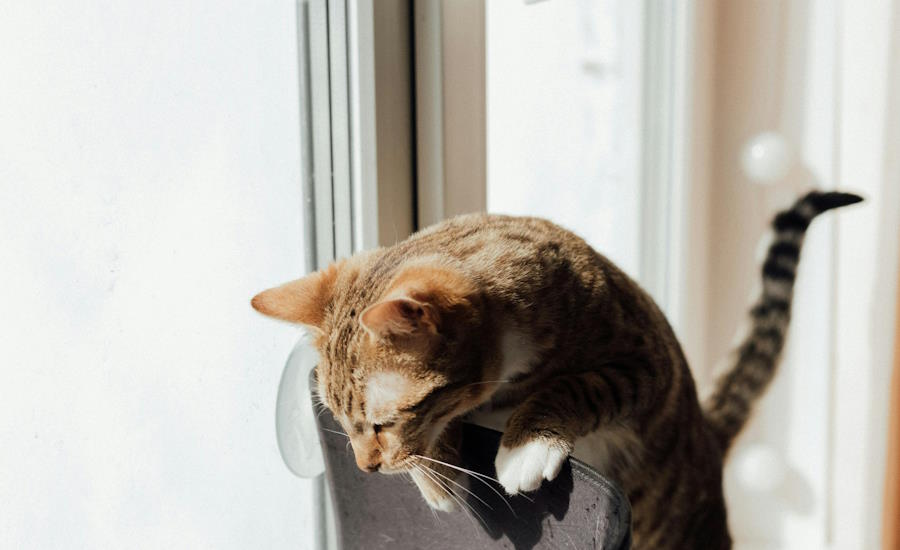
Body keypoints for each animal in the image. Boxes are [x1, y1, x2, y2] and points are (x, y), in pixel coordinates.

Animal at [253, 192, 864, 548]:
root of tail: (707, 439)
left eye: (382, 422)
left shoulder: (644, 363)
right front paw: (438, 475)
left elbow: (577, 384)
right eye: (340, 421)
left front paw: (526, 445)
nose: (365, 467)